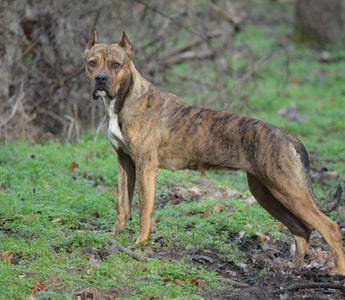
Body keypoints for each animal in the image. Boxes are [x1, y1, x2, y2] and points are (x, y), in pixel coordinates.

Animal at [84, 31, 344, 274]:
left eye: (116, 65)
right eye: (92, 63)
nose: (100, 79)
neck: (125, 100)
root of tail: (286, 136)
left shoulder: (145, 166)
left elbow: (145, 210)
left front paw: (140, 244)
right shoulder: (124, 162)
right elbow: (123, 206)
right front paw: (114, 238)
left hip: (289, 190)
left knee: (329, 228)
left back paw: (336, 273)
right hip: (266, 192)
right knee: (302, 229)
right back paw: (294, 269)